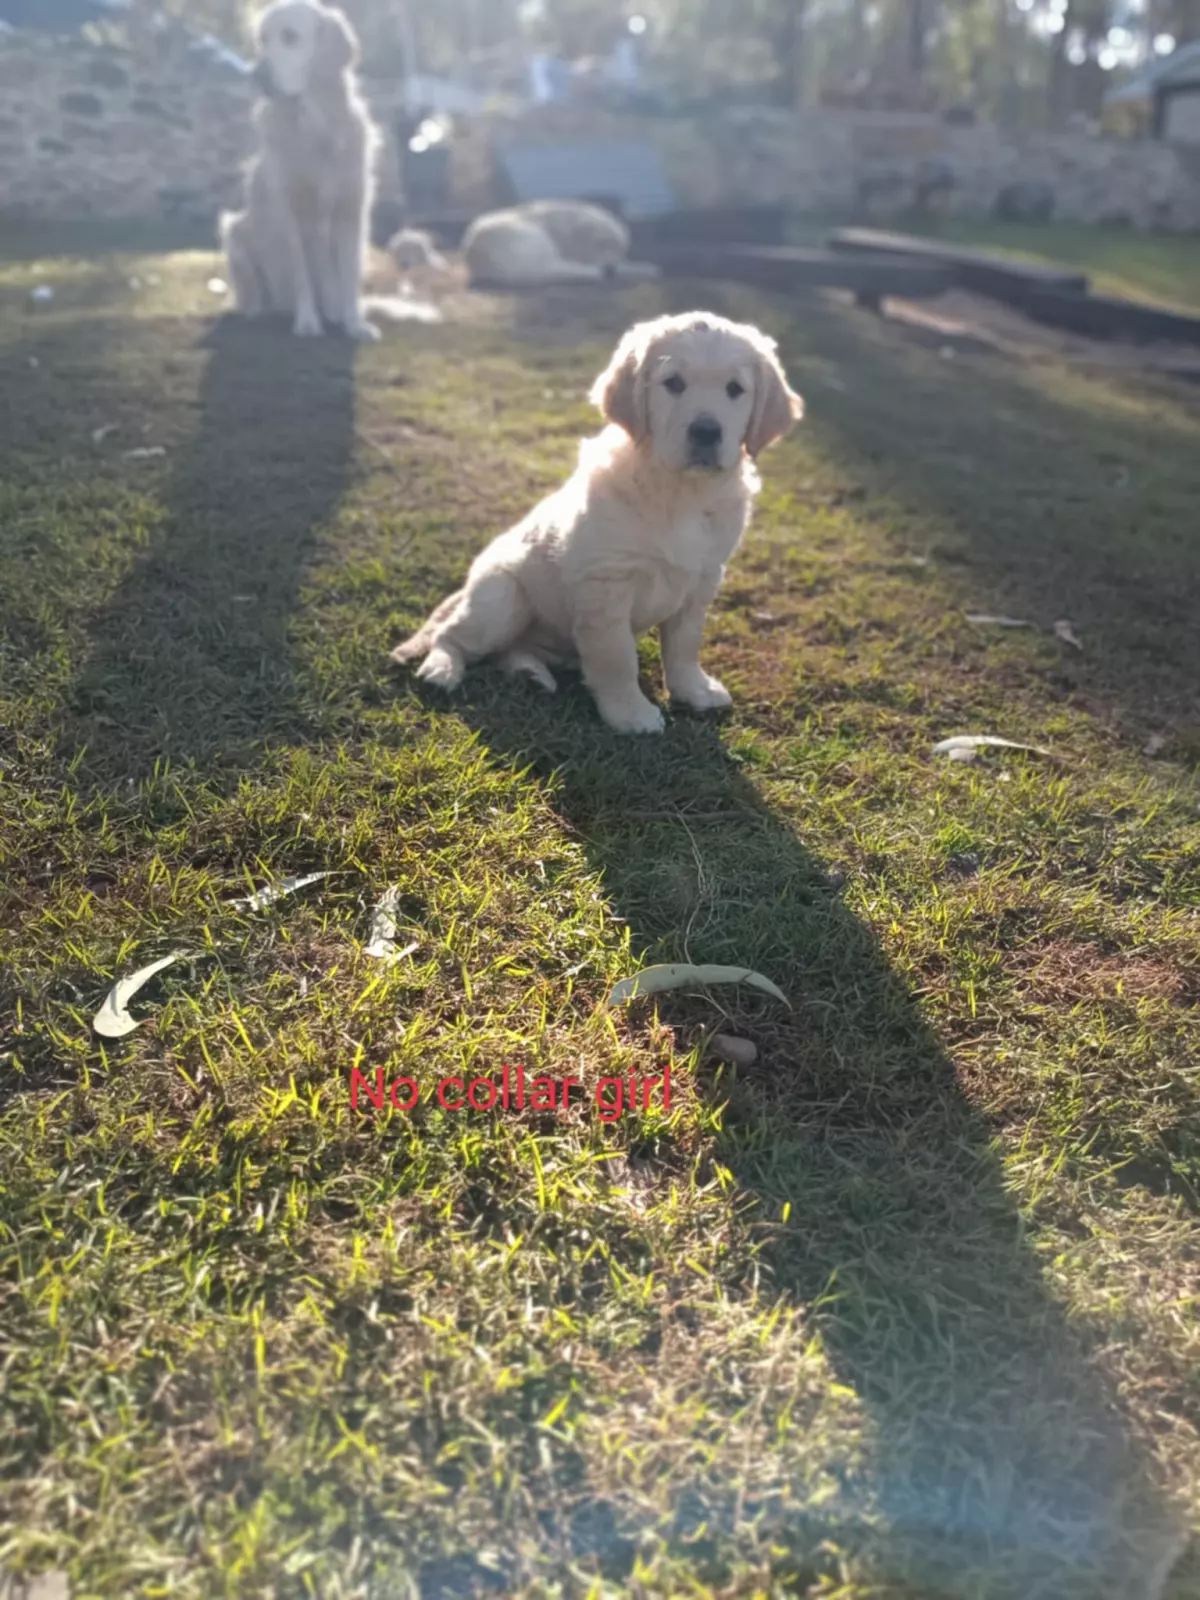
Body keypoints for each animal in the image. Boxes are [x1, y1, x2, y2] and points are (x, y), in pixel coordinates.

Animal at [220, 0, 380, 341]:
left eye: (290, 37)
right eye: (263, 39)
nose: (256, 75)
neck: (312, 125)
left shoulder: (352, 210)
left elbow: (350, 274)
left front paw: (355, 323)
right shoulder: (289, 213)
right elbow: (301, 275)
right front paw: (307, 322)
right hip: (234, 230)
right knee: (254, 294)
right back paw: (261, 311)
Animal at [391, 312, 803, 735]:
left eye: (735, 389)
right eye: (673, 383)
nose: (706, 432)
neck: (680, 491)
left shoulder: (702, 577)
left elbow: (685, 644)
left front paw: (694, 690)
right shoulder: (606, 584)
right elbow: (617, 657)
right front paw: (631, 714)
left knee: (510, 650)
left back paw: (529, 673)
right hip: (502, 600)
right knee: (454, 635)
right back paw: (441, 669)